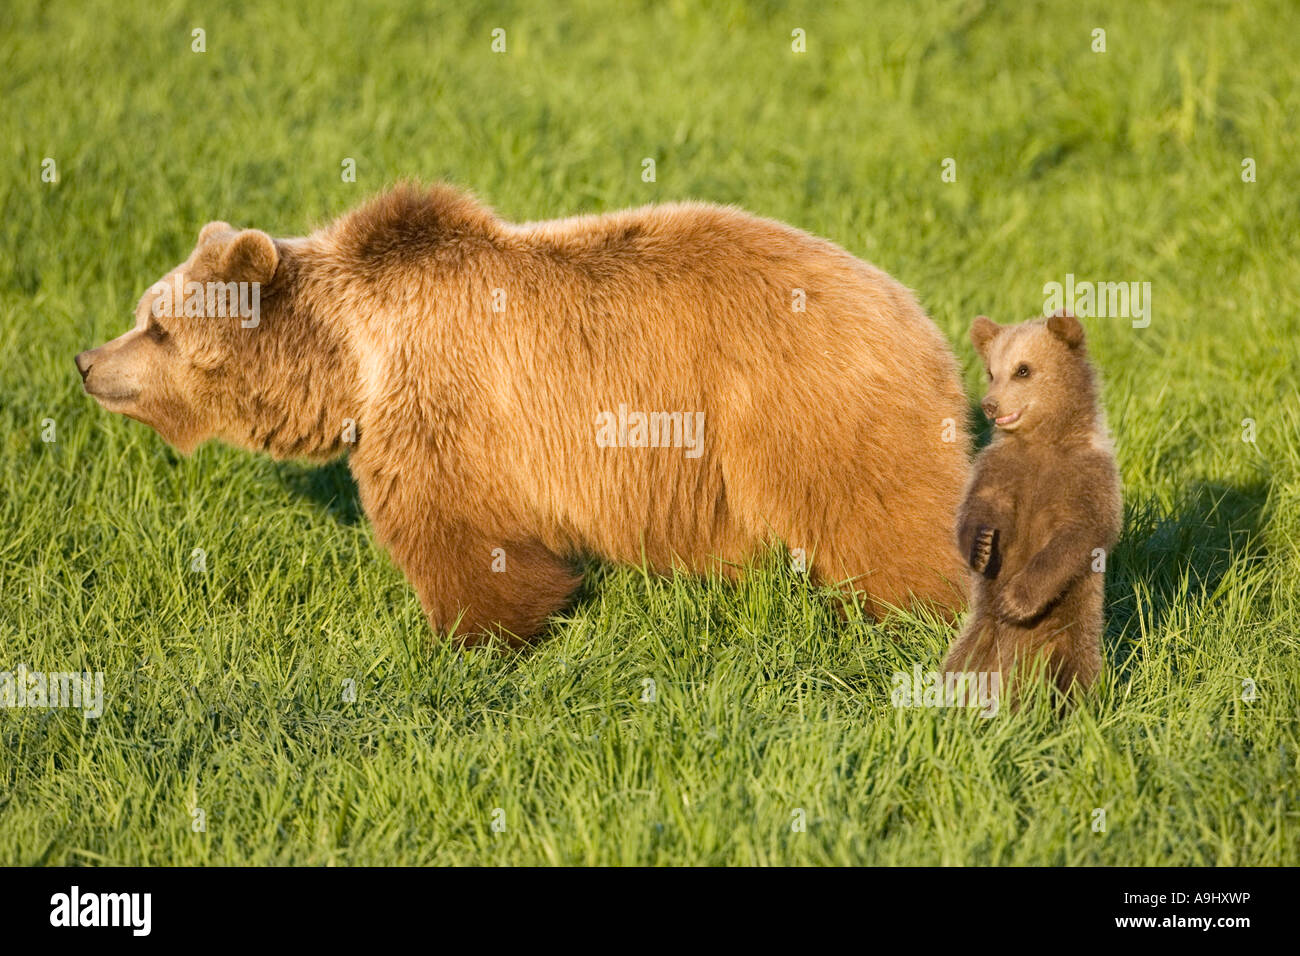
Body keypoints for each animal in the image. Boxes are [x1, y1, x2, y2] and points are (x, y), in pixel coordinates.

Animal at [73, 183, 967, 647]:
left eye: (158, 324)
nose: (86, 362)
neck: (352, 356)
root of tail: (921, 320)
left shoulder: (446, 405)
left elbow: (462, 535)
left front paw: (472, 635)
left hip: (809, 411)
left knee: (885, 524)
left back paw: (926, 615)